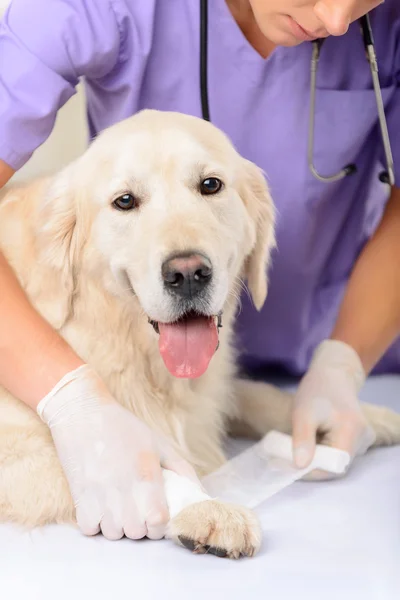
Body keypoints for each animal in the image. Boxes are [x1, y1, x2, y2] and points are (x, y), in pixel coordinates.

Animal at [0, 110, 400, 560]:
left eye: (210, 185)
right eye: (125, 201)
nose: (188, 273)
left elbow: (258, 394)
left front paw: (356, 416)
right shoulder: (19, 448)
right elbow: (123, 467)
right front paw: (207, 509)